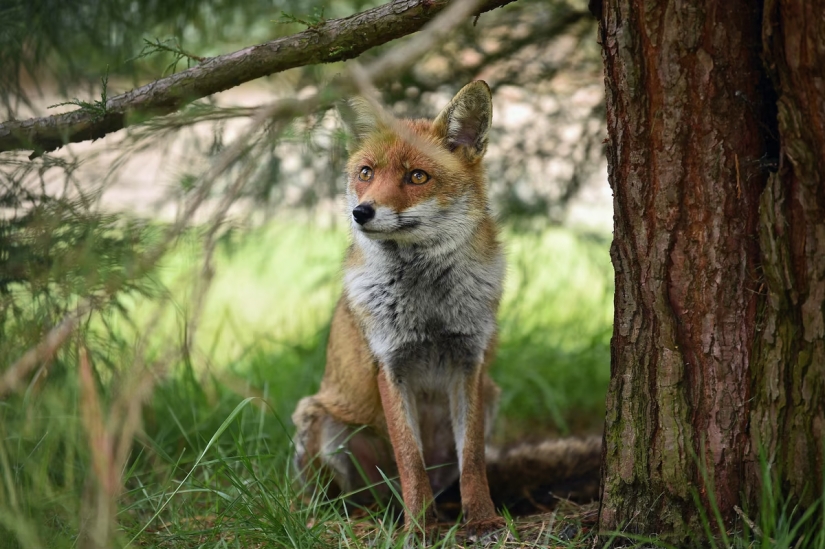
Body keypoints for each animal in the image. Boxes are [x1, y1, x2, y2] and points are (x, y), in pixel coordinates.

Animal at [291, 81, 601, 535]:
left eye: (416, 176)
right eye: (366, 173)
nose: (361, 212)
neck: (429, 308)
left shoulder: (468, 364)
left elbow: (472, 459)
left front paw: (484, 520)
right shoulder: (391, 366)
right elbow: (410, 460)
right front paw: (418, 530)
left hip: (490, 397)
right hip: (319, 419)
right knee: (345, 498)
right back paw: (364, 516)